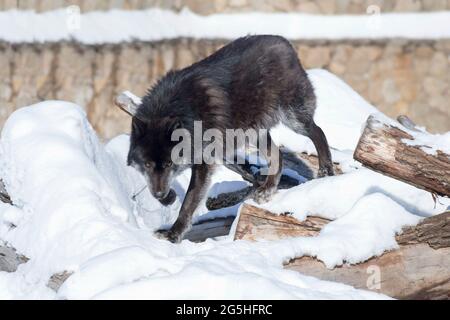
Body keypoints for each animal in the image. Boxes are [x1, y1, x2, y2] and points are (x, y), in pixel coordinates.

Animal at [128, 35, 332, 242]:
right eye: (147, 165)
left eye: (169, 164)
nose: (159, 192)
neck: (180, 110)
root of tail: (284, 42)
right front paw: (168, 199)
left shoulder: (204, 162)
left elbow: (188, 202)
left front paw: (173, 234)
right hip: (255, 132)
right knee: (279, 156)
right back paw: (267, 189)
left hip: (294, 118)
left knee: (319, 132)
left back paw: (326, 171)